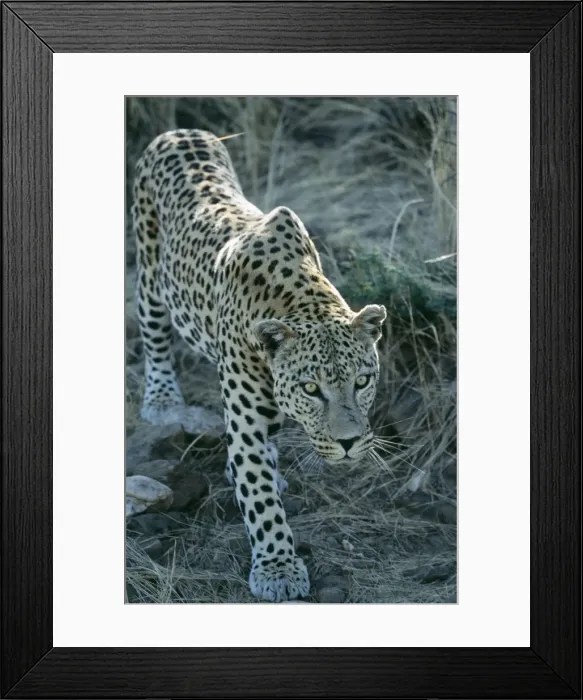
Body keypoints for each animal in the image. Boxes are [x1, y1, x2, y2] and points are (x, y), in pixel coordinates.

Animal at [131, 128, 387, 602]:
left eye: (362, 382)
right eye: (311, 389)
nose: (348, 443)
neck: (302, 301)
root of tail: (181, 131)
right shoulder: (246, 421)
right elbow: (262, 500)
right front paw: (278, 569)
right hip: (150, 274)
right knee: (154, 335)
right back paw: (162, 400)